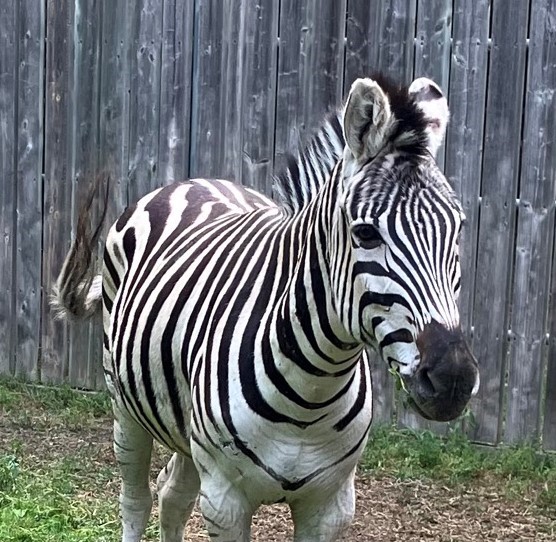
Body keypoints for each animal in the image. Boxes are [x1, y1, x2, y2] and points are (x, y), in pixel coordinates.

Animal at [52, 74, 478, 540]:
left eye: (458, 230)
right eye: (365, 234)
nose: (454, 380)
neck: (312, 392)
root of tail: (191, 182)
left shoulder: (330, 505)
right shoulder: (225, 500)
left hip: (185, 426)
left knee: (172, 495)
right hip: (125, 406)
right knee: (137, 499)